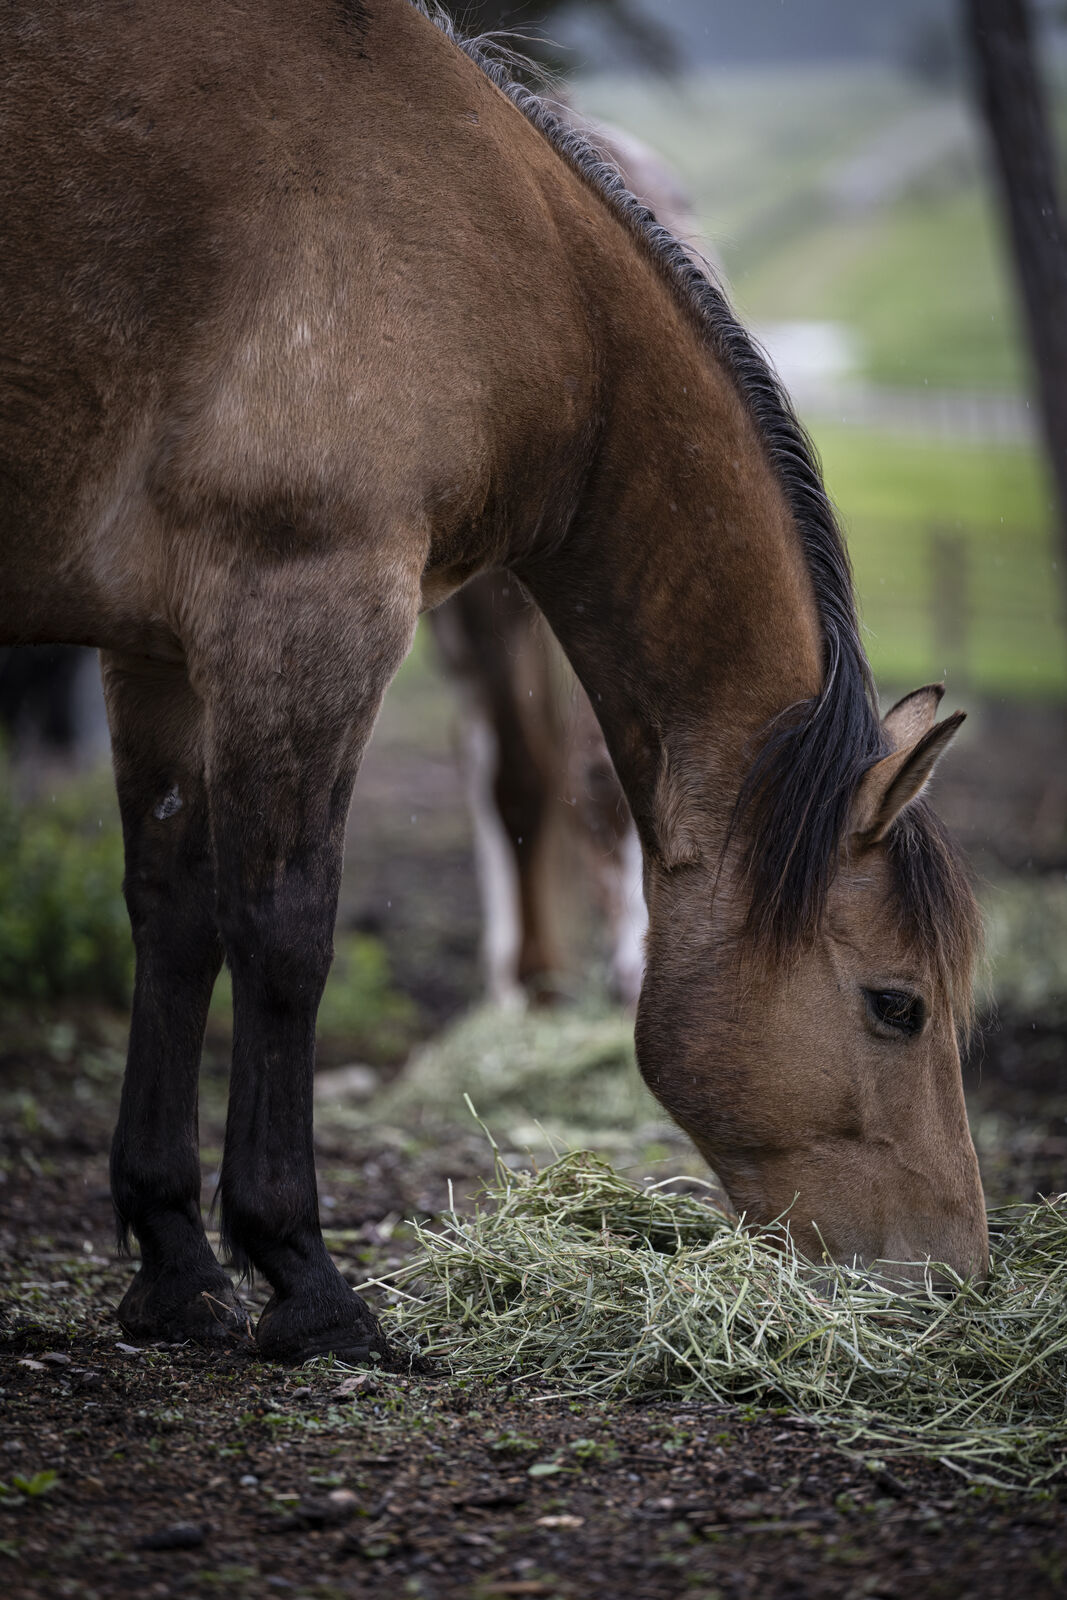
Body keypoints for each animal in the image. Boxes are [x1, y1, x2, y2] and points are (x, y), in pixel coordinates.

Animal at [0, 0, 987, 1363]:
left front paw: (174, 1261)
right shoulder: (307, 610)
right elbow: (285, 928)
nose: (958, 1274)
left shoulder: (157, 650)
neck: (510, 269)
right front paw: (301, 1275)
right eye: (897, 1006)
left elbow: (176, 913)